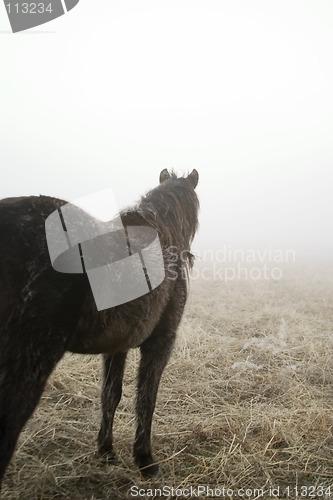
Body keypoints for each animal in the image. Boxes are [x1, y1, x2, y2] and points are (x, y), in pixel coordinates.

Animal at [0, 169, 198, 488]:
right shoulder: (160, 342)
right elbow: (146, 399)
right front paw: (145, 460)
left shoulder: (117, 346)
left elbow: (110, 395)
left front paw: (106, 451)